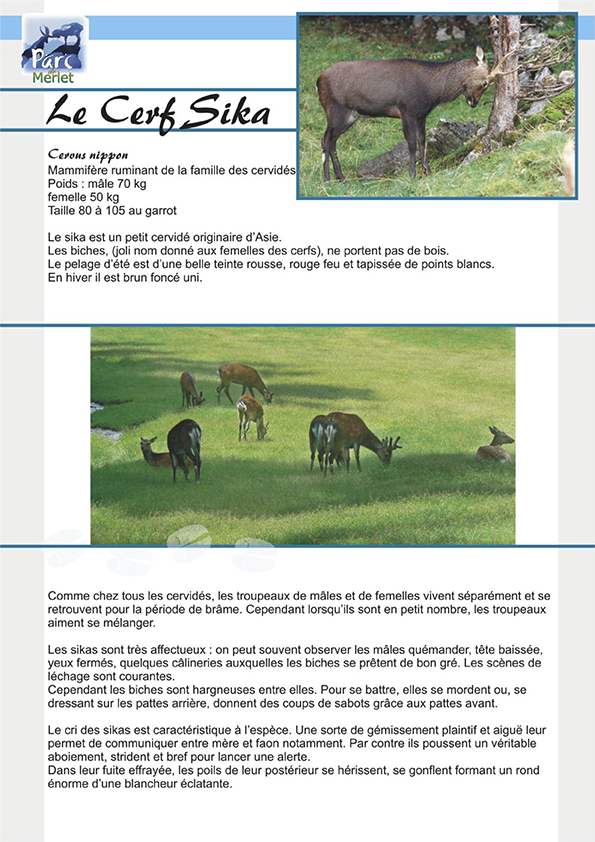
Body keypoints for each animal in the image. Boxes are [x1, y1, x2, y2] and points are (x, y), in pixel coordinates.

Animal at [317, 45, 517, 181]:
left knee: (332, 140)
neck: (432, 92)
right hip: (335, 109)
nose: (474, 103)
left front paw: (427, 171)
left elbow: (423, 141)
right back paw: (327, 179)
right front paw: (412, 174)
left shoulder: (421, 114)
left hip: (351, 115)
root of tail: (318, 81)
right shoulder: (407, 110)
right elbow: (411, 143)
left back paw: (341, 177)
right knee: (326, 139)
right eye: (485, 83)